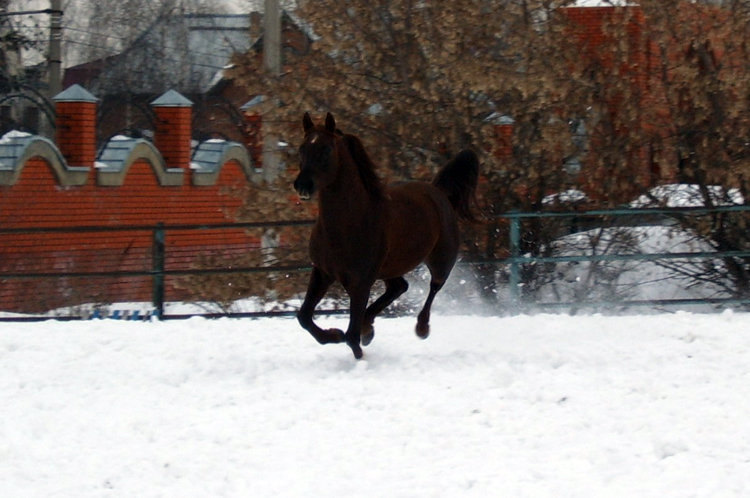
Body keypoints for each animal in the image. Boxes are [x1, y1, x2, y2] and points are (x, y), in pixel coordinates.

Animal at [290, 113, 478, 358]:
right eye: (302, 149)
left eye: (326, 149)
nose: (302, 185)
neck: (347, 224)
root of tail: (438, 192)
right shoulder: (323, 272)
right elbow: (304, 317)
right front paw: (334, 334)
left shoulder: (361, 282)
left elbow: (351, 337)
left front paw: (355, 350)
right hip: (390, 268)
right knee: (399, 287)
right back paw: (368, 327)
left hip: (440, 262)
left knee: (434, 286)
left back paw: (421, 328)